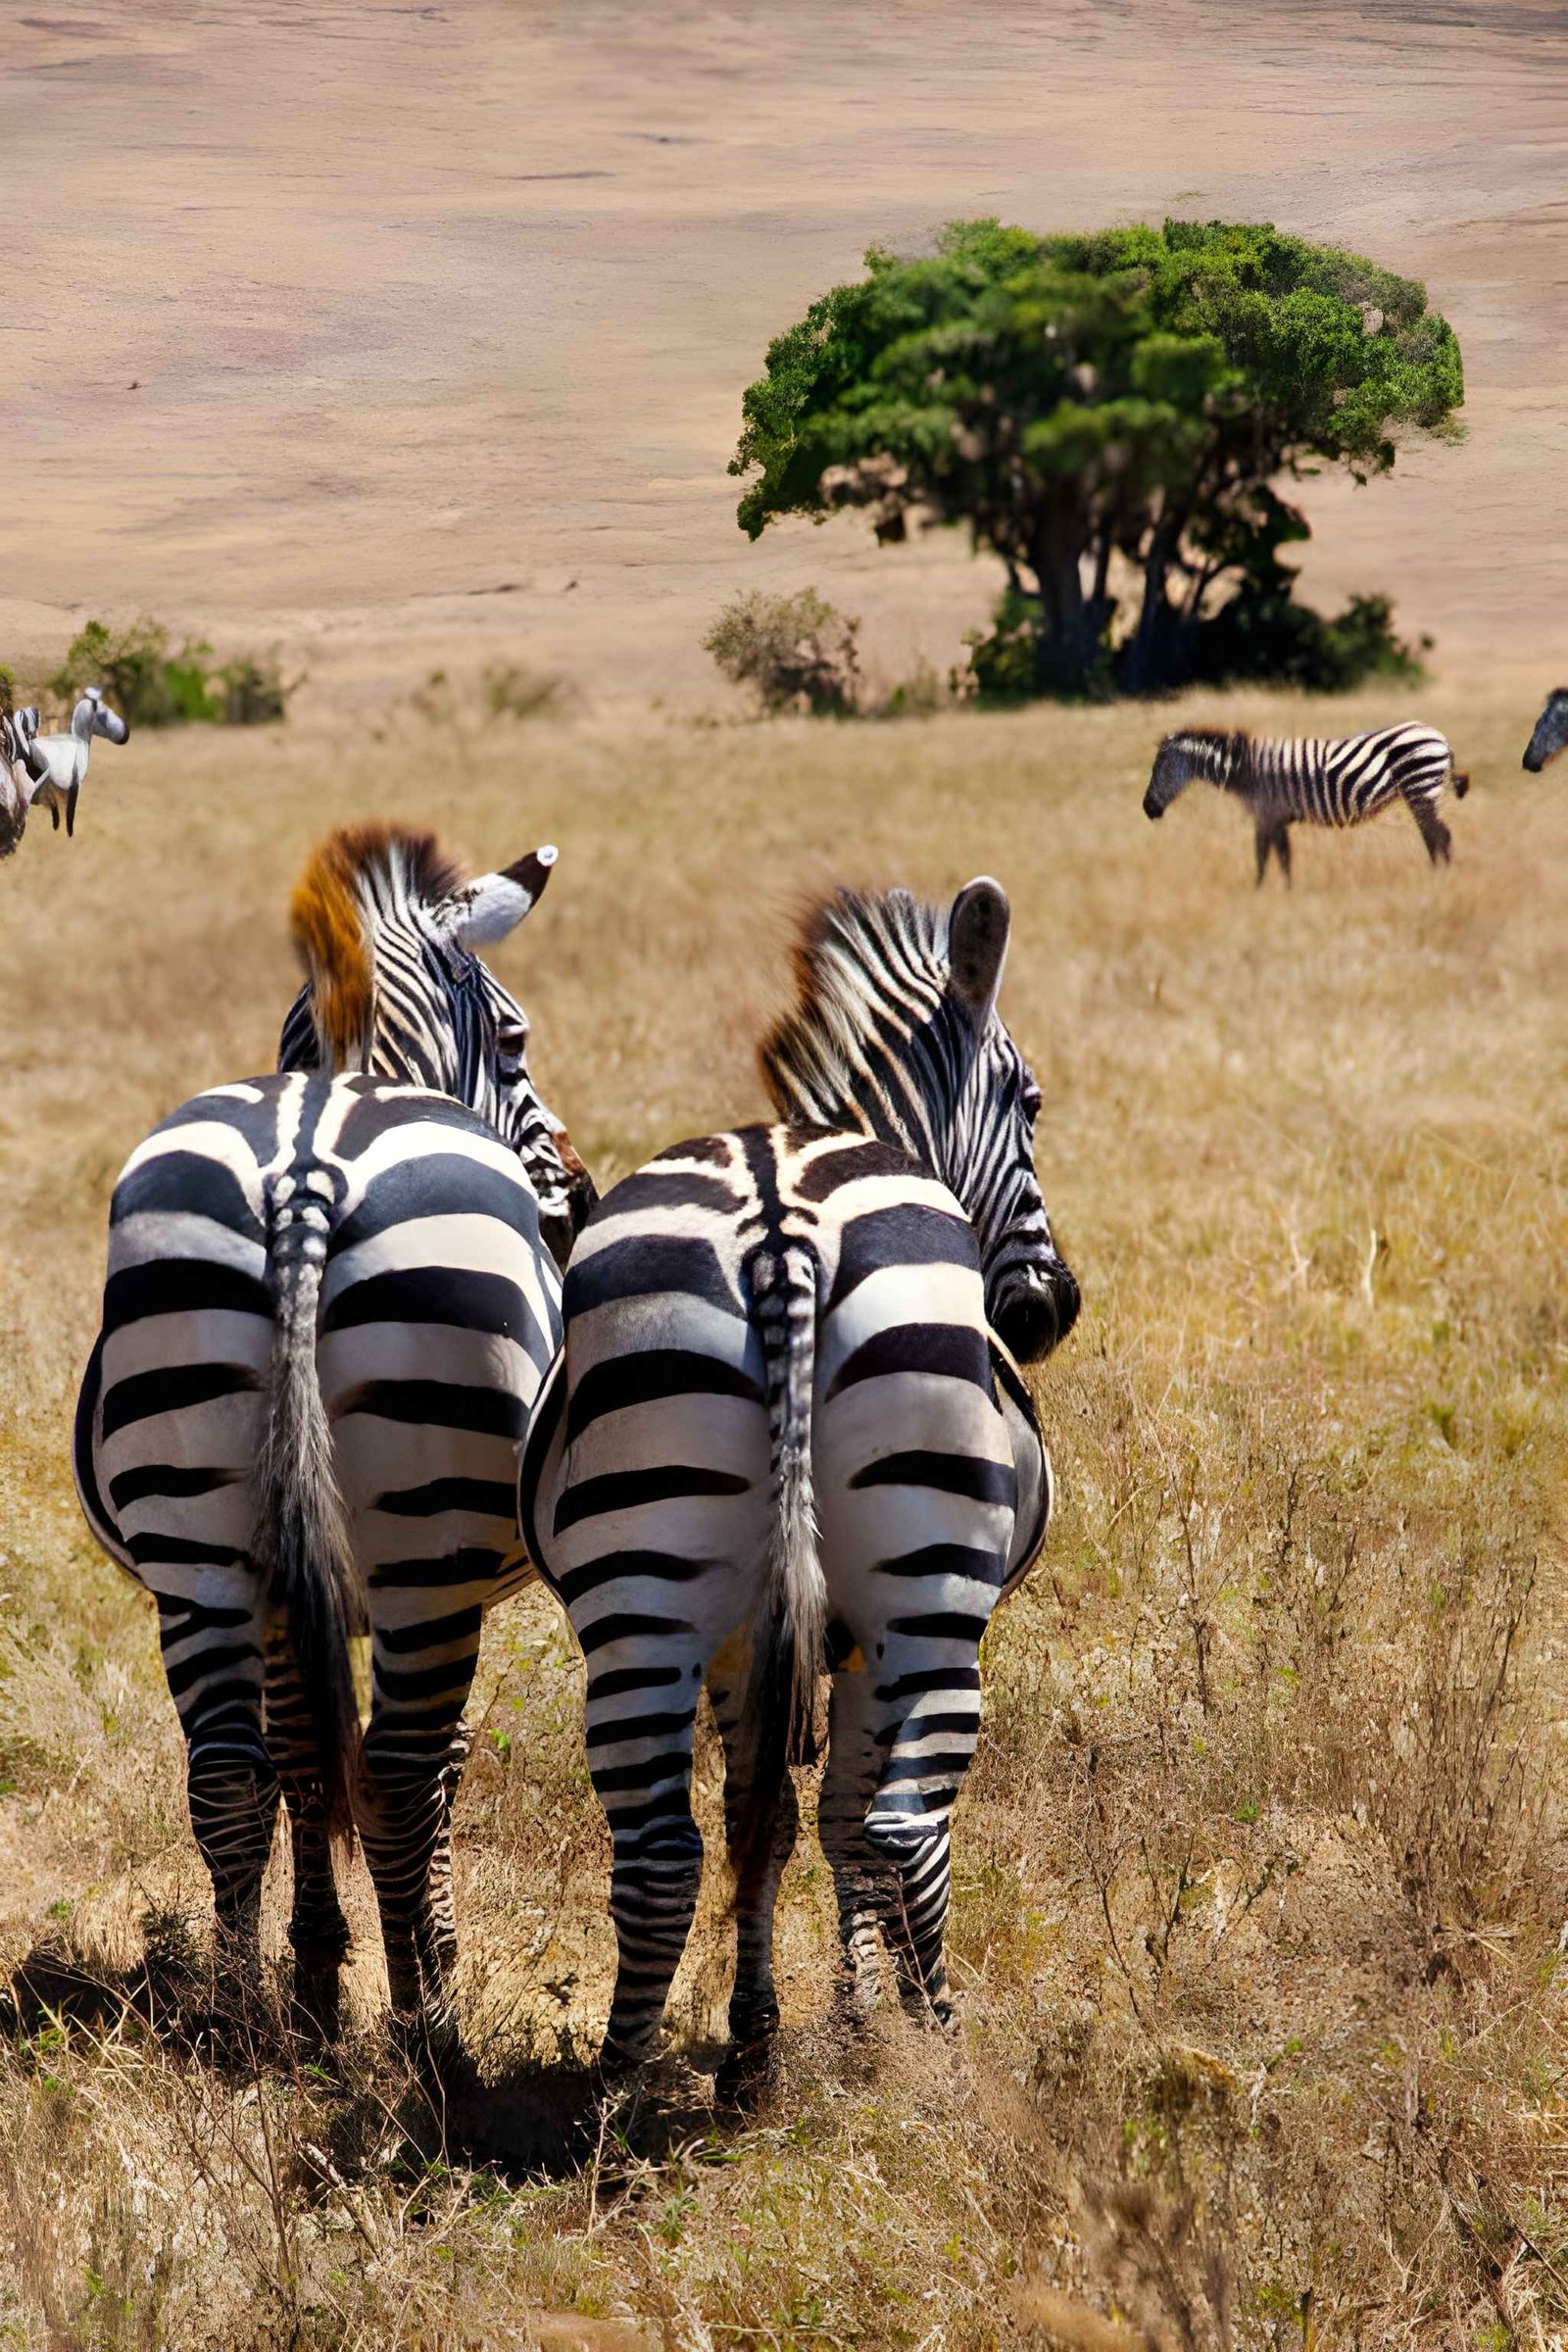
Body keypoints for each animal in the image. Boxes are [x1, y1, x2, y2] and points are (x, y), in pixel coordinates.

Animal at [72, 823, 592, 2044]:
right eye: (514, 1036)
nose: (581, 1198)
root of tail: (304, 1168)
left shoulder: (280, 1589)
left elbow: (304, 1760)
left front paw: (313, 1975)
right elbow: (430, 1766)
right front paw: (422, 1957)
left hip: (199, 1543)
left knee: (226, 1769)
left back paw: (234, 2019)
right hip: (430, 1560)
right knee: (398, 1773)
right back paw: (427, 2031)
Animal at [519, 878, 1079, 2081]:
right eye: (1030, 1099)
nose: (1047, 1311)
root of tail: (780, 1223)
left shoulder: (748, 1638)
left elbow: (760, 1814)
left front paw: (756, 2035)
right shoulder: (858, 1641)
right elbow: (837, 1818)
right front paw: (860, 2015)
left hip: (639, 1598)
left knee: (659, 1851)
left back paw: (620, 2088)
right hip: (932, 1601)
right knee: (909, 1823)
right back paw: (943, 2044)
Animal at [1143, 723, 1469, 882]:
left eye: (1158, 769)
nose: (1147, 809)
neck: (1244, 770)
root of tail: (1439, 737)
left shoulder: (1268, 814)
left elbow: (1265, 857)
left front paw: (1262, 894)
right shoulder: (1273, 817)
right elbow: (1280, 857)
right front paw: (1281, 894)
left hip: (1421, 786)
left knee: (1440, 835)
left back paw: (1442, 880)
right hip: (1421, 792)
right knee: (1433, 835)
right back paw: (1436, 877)